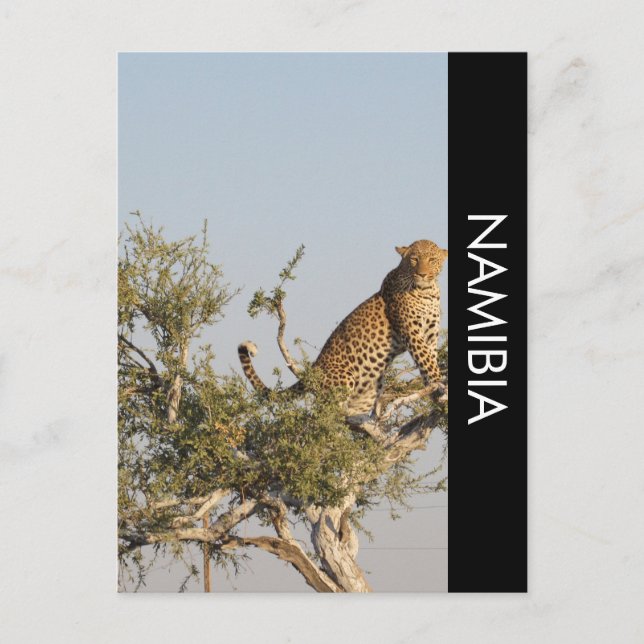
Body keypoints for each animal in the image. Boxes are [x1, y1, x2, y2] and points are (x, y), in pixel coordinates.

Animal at [238, 239, 447, 418]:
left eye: (432, 260)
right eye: (414, 259)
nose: (422, 274)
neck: (427, 291)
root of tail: (313, 370)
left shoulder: (430, 336)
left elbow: (430, 359)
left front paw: (434, 391)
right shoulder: (413, 334)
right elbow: (427, 362)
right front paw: (440, 386)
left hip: (367, 392)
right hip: (344, 380)